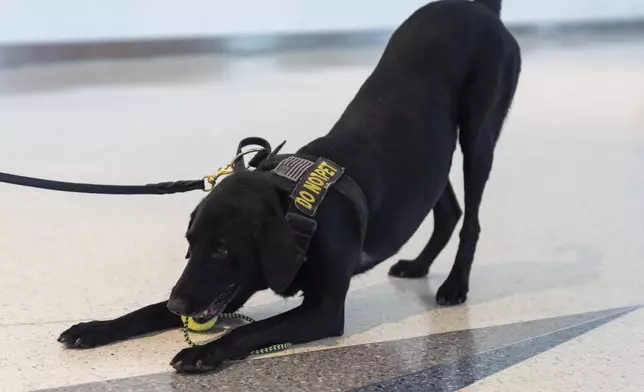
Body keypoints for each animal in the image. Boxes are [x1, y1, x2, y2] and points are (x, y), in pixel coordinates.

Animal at [57, 0, 520, 372]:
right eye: (190, 243)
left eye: (223, 249)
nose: (179, 306)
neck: (297, 204)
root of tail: (478, 9)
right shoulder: (232, 291)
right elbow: (146, 310)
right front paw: (95, 328)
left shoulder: (323, 310)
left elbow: (251, 330)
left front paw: (202, 353)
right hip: (432, 158)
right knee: (447, 209)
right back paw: (419, 265)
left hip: (478, 135)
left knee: (471, 219)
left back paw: (454, 285)